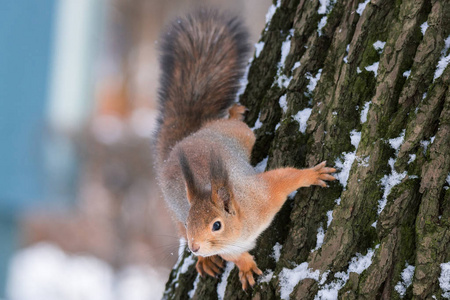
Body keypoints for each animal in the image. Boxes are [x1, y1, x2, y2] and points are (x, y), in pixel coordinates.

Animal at [155, 8, 334, 290]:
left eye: (216, 225)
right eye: (189, 220)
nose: (194, 247)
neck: (239, 230)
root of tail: (181, 143)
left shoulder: (265, 195)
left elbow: (286, 178)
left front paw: (313, 175)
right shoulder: (225, 246)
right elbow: (235, 256)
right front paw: (246, 266)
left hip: (239, 135)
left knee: (237, 126)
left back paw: (233, 113)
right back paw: (205, 262)